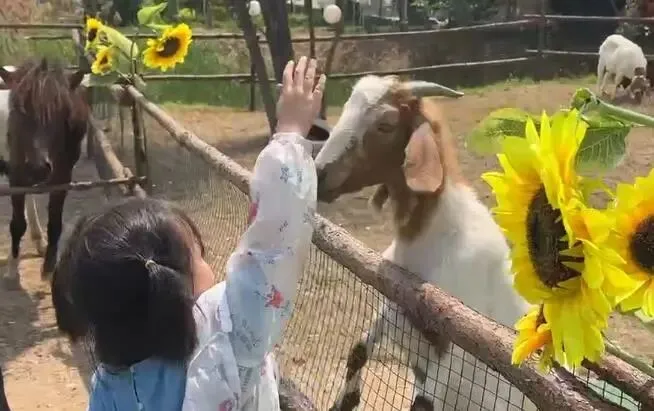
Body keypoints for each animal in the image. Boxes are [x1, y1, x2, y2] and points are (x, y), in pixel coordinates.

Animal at [314, 75, 532, 411]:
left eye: (386, 125)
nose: (319, 174)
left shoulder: (456, 346)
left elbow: (422, 403)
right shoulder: (395, 307)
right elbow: (358, 350)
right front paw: (345, 400)